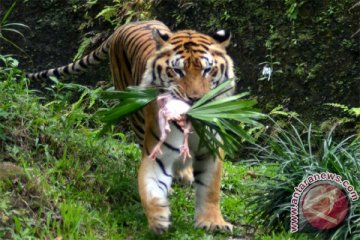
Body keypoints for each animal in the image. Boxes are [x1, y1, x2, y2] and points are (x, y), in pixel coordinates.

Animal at [26, 20, 235, 234]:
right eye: (177, 71)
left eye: (207, 70)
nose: (195, 99)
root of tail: (130, 23)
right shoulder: (158, 152)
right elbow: (151, 185)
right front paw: (158, 216)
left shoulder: (211, 149)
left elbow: (211, 188)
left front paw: (213, 222)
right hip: (134, 113)